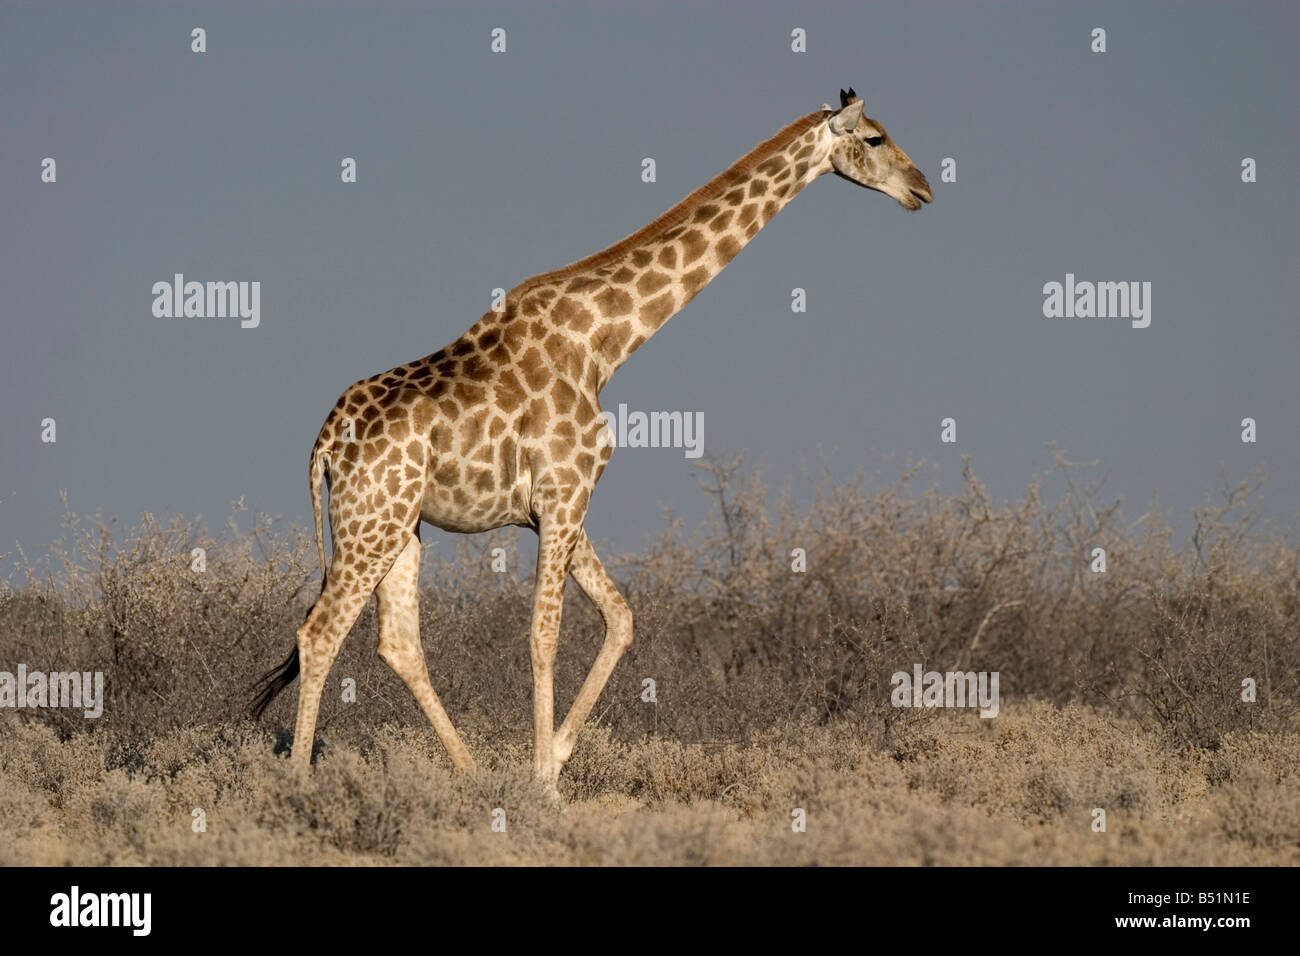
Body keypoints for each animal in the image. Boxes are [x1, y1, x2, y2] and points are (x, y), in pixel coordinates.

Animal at [251, 89, 931, 793]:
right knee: (320, 633)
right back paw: (298, 783)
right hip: (372, 521)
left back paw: (469, 774)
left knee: (397, 642)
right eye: (875, 138)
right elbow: (544, 634)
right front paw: (543, 784)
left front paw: (552, 759)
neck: (605, 342)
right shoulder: (564, 494)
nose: (923, 189)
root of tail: (325, 444)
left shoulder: (557, 506)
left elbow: (621, 618)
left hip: (398, 526)